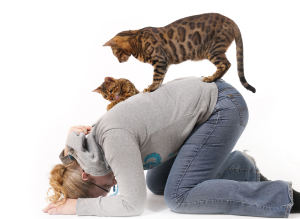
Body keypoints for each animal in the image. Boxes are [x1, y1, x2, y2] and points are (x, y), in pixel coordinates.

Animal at [103, 12, 255, 93]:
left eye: (115, 53)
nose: (119, 61)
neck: (135, 39)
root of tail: (232, 22)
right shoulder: (164, 63)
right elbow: (161, 77)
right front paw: (156, 87)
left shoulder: (160, 60)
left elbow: (156, 76)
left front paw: (151, 88)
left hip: (213, 50)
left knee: (226, 64)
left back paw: (211, 78)